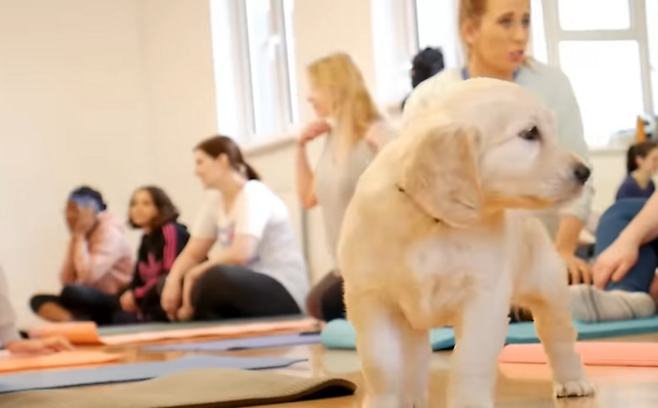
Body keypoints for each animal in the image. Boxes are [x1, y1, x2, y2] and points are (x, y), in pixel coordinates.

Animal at [338, 77, 596, 408]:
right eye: (530, 133)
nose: (585, 172)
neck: (432, 221)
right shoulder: (371, 299)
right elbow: (382, 364)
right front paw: (385, 401)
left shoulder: (483, 297)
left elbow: (469, 361)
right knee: (416, 351)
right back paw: (412, 396)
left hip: (547, 288)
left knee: (559, 337)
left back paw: (572, 379)